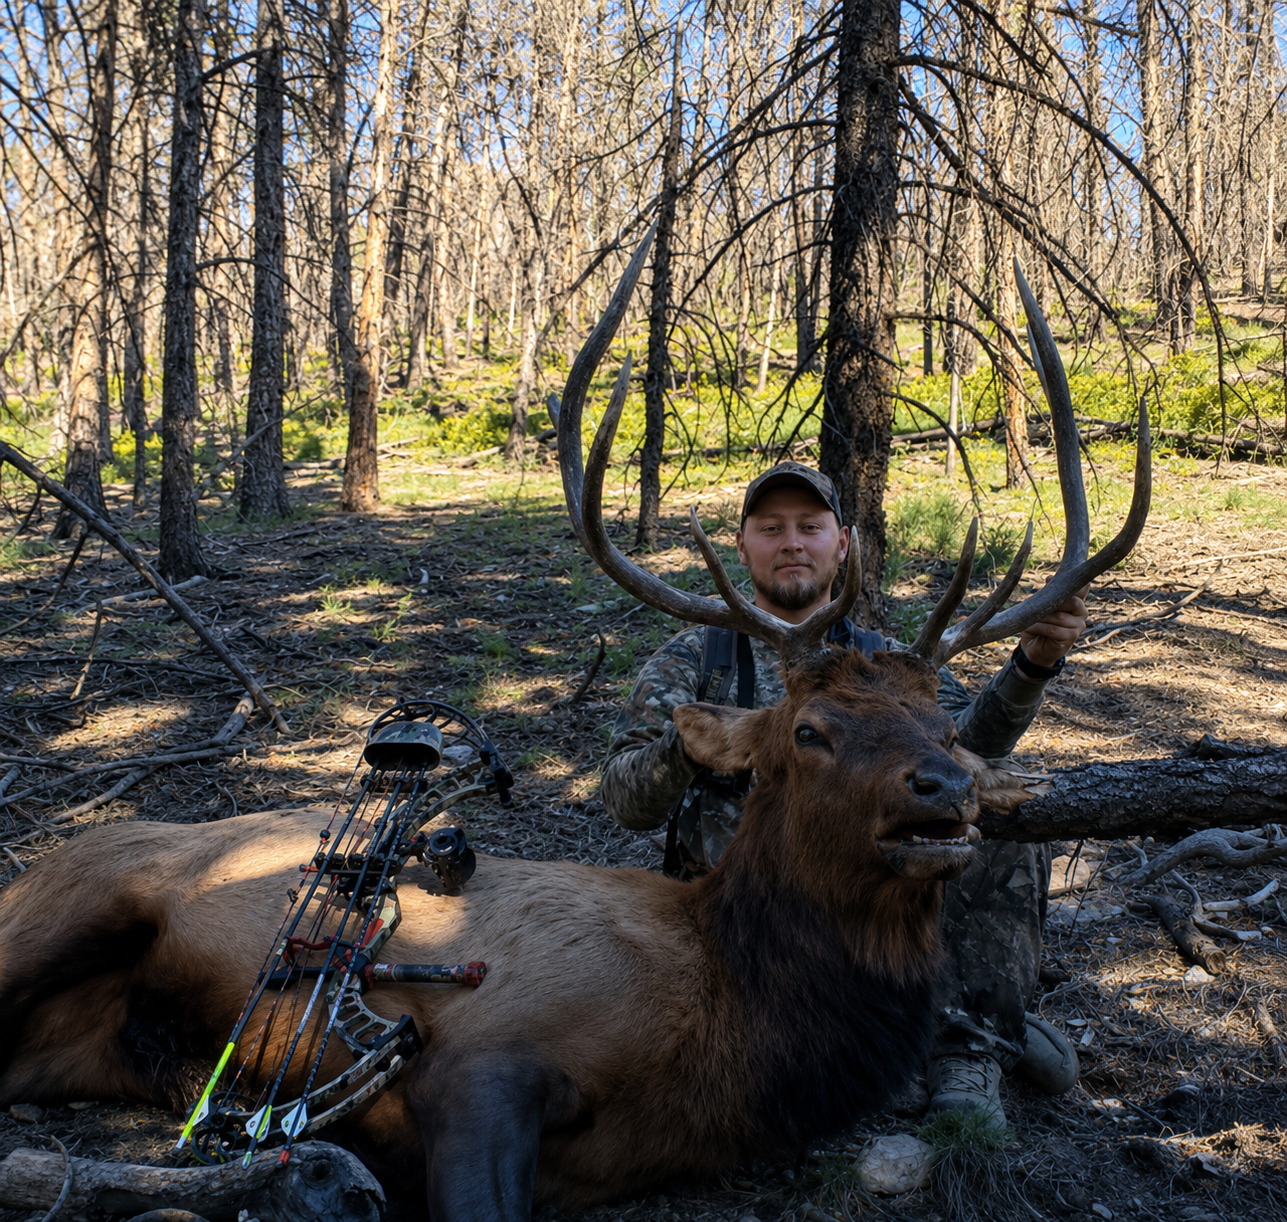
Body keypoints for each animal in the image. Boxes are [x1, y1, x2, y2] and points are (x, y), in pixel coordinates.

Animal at [0, 236, 1150, 1221]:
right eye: (809, 730)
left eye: (941, 729)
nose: (942, 792)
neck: (736, 1020)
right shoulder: (481, 1054)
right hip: (65, 906)